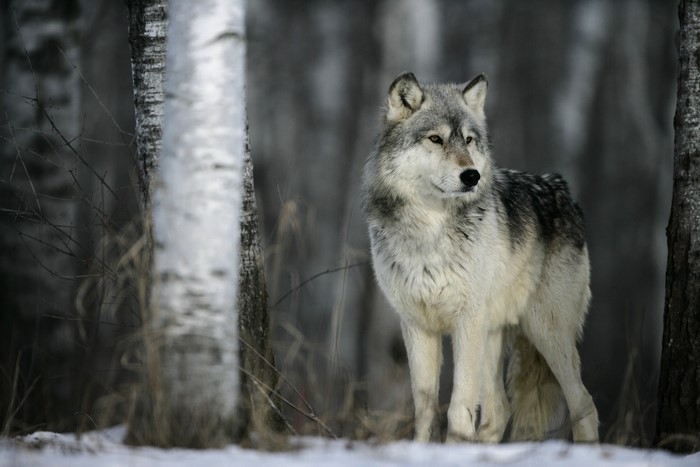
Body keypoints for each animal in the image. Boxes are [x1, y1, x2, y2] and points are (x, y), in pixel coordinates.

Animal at [361, 72, 599, 443]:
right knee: (499, 410)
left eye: (470, 141)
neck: (430, 230)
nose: (471, 175)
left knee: (584, 403)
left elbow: (459, 406)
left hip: (545, 331)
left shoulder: (466, 321)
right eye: (436, 139)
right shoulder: (416, 325)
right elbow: (425, 408)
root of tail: (564, 191)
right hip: (493, 334)